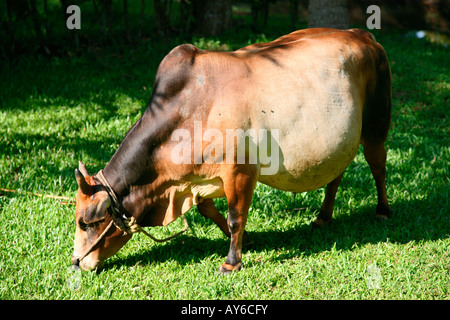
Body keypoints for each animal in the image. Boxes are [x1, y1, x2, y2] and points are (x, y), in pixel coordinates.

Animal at [70, 28, 390, 272]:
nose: (75, 263)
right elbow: (210, 211)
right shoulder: (201, 180)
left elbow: (237, 218)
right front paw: (248, 242)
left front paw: (231, 262)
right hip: (339, 142)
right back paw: (323, 217)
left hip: (376, 130)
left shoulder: (240, 173)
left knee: (378, 168)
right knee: (336, 176)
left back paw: (382, 212)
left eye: (86, 223)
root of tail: (363, 35)